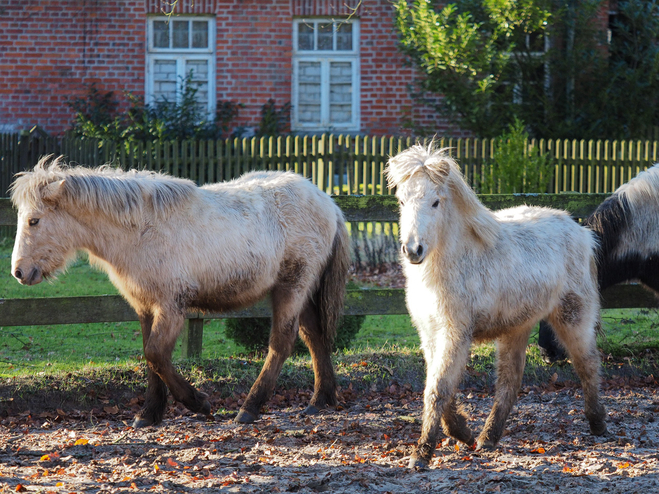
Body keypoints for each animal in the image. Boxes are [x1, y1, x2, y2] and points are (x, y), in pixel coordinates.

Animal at [10, 156, 350, 426]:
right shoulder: (145, 306)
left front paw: (198, 402)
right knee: (314, 335)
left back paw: (250, 407)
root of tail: (327, 202)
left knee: (282, 343)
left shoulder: (171, 307)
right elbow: (150, 358)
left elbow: (156, 354)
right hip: (301, 291)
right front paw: (148, 414)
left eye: (34, 220)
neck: (141, 229)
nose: (18, 272)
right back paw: (320, 400)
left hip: (291, 287)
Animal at [386, 145, 608, 468]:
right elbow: (438, 387)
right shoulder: (430, 334)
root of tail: (582, 233)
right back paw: (487, 438)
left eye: (436, 202)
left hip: (573, 318)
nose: (413, 250)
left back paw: (598, 424)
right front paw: (462, 433)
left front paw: (422, 453)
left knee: (587, 364)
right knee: (509, 381)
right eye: (402, 200)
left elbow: (437, 390)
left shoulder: (454, 334)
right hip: (517, 327)